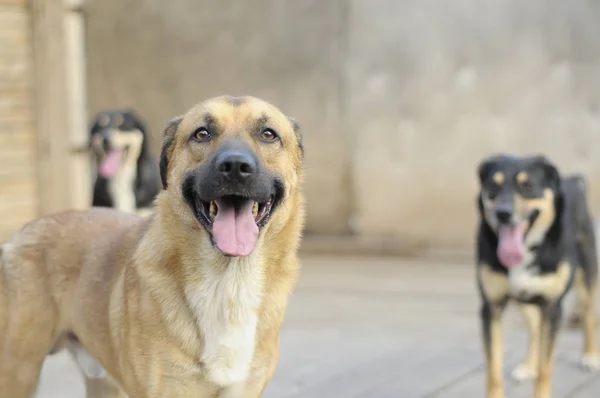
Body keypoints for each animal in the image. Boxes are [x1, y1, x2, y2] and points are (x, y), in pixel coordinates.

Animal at [0, 95, 308, 396]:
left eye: (268, 134)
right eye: (202, 134)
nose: (234, 167)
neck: (227, 282)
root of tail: (23, 231)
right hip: (18, 370)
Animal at [476, 155, 596, 398]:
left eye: (528, 187)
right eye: (493, 187)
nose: (503, 213)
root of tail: (573, 180)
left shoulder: (552, 306)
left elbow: (546, 367)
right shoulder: (491, 308)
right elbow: (494, 371)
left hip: (586, 277)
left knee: (588, 315)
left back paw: (590, 356)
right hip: (525, 297)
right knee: (534, 329)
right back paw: (528, 366)